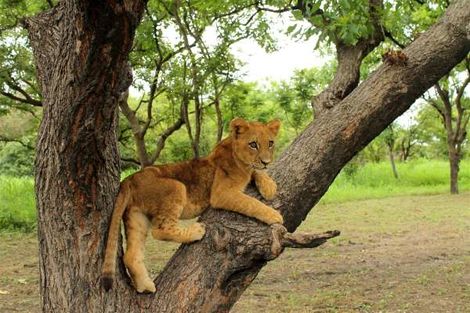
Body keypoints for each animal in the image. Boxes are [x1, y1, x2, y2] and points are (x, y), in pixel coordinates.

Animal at [101, 117, 282, 292]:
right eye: (253, 144)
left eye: (270, 143)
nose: (266, 162)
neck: (239, 159)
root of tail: (130, 178)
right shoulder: (221, 194)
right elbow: (251, 203)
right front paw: (274, 215)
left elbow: (256, 172)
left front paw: (269, 186)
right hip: (176, 187)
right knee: (160, 230)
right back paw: (196, 231)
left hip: (136, 216)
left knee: (131, 255)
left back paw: (145, 287)